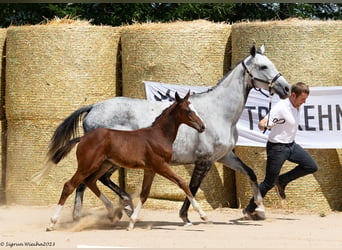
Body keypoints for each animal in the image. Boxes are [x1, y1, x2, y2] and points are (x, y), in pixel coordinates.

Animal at [46, 45, 290, 225]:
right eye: (263, 66)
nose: (286, 88)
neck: (219, 112)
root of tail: (93, 107)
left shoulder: (223, 157)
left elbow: (251, 174)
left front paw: (259, 210)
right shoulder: (205, 160)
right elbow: (191, 187)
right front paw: (186, 217)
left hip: (108, 160)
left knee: (94, 181)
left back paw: (121, 207)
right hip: (102, 159)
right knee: (85, 182)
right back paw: (90, 215)